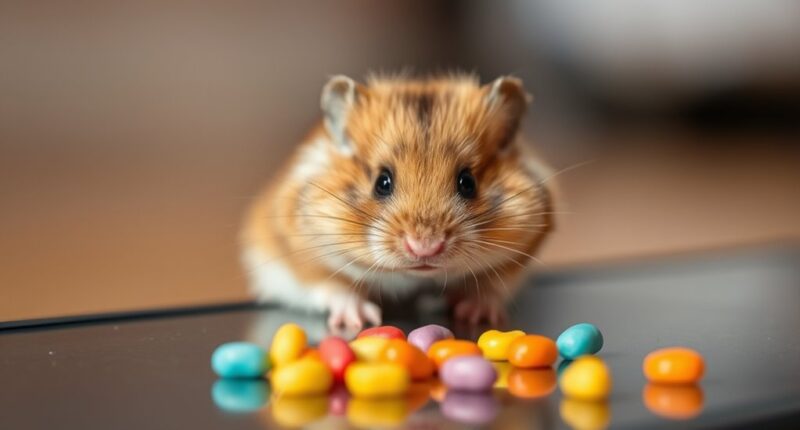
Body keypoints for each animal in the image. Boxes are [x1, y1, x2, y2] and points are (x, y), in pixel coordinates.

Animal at [241, 74, 554, 330]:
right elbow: (332, 284)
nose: (425, 248)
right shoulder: (297, 253)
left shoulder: (524, 248)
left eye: (468, 183)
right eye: (382, 182)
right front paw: (362, 318)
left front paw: (475, 313)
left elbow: (492, 286)